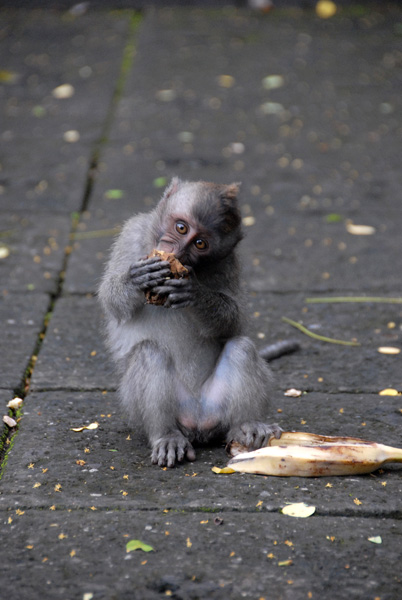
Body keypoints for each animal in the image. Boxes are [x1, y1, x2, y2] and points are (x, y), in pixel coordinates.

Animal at [98, 178, 296, 468]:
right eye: (181, 227)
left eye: (200, 244)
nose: (178, 252)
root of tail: (198, 423)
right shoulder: (131, 232)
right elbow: (111, 301)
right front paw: (137, 279)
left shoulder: (229, 262)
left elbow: (235, 321)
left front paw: (195, 294)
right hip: (144, 407)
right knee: (149, 353)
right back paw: (166, 435)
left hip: (217, 406)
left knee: (242, 348)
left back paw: (247, 425)